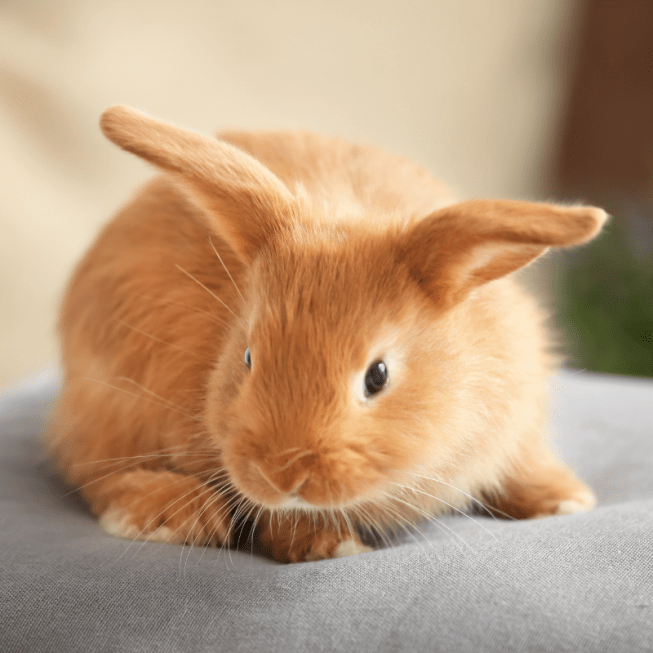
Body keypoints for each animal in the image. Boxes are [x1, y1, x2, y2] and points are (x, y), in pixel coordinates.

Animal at [46, 105, 607, 563]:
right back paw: (177, 515)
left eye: (377, 376)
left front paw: (565, 501)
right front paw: (331, 546)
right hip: (108, 407)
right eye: (247, 357)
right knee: (93, 471)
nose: (282, 475)